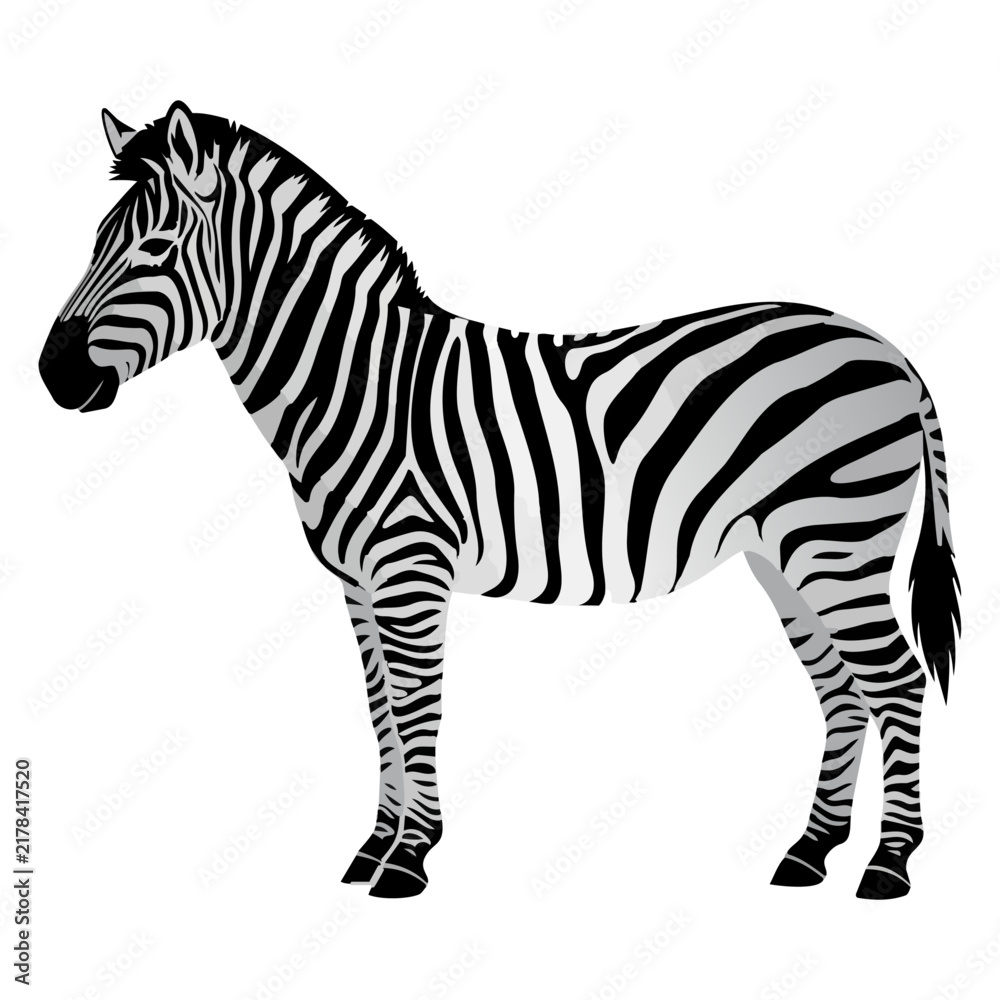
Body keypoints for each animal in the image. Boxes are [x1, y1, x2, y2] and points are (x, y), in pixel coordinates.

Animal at [39, 101, 960, 900]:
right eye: (96, 242)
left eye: (156, 247)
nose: (52, 375)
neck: (356, 385)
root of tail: (887, 348)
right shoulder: (356, 582)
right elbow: (379, 710)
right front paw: (376, 845)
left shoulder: (409, 569)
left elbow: (419, 707)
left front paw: (408, 860)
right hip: (786, 555)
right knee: (842, 689)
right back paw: (810, 852)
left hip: (836, 540)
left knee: (897, 681)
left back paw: (889, 865)